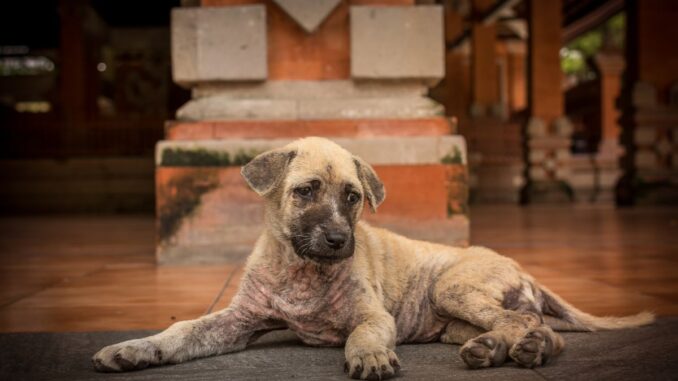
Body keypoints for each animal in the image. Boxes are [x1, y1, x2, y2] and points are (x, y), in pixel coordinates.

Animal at [93, 136, 656, 378]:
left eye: (353, 197)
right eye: (306, 191)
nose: (340, 241)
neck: (301, 270)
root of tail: (524, 269)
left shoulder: (373, 315)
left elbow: (361, 334)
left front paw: (368, 356)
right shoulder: (238, 320)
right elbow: (183, 330)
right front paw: (136, 349)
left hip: (451, 287)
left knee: (534, 325)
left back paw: (529, 349)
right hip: (453, 320)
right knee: (520, 325)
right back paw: (498, 350)